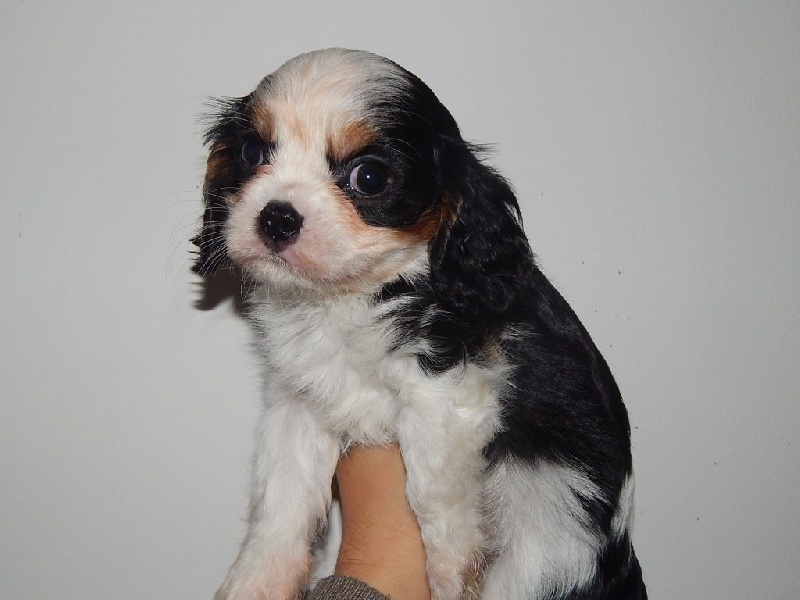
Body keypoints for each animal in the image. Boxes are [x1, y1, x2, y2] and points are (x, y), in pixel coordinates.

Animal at [193, 48, 646, 600]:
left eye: (369, 178)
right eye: (251, 153)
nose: (277, 217)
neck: (349, 299)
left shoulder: (447, 388)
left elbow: (432, 488)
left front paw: (451, 573)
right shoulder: (298, 400)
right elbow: (280, 494)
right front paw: (255, 580)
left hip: (546, 550)